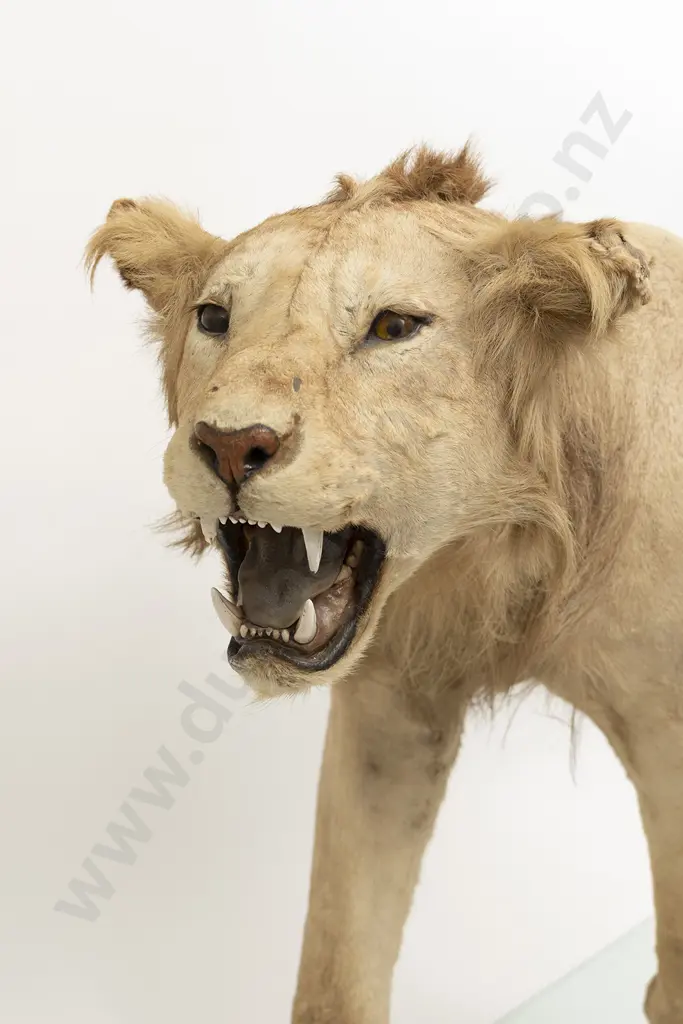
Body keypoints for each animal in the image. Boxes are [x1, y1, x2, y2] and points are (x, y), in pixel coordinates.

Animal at [87, 144, 683, 1023]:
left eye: (393, 327)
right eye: (214, 318)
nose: (231, 445)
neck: (505, 553)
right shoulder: (388, 704)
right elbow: (336, 969)